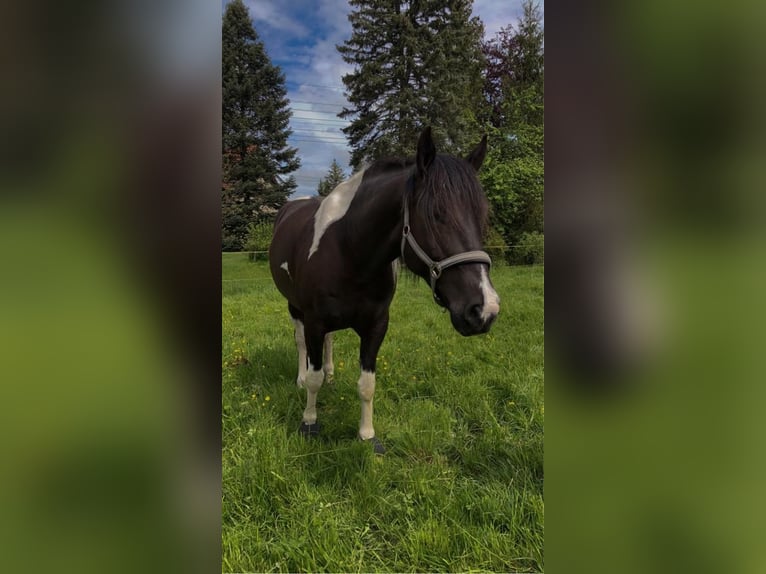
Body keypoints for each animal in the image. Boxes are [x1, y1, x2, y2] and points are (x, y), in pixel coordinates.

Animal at [268, 127, 500, 453]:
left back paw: (331, 374)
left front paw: (367, 436)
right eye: (436, 214)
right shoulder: (314, 321)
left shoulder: (377, 325)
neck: (347, 250)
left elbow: (367, 384)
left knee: (329, 344)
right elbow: (313, 375)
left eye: (481, 216)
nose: (485, 309)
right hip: (294, 306)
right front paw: (309, 422)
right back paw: (301, 379)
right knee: (301, 343)